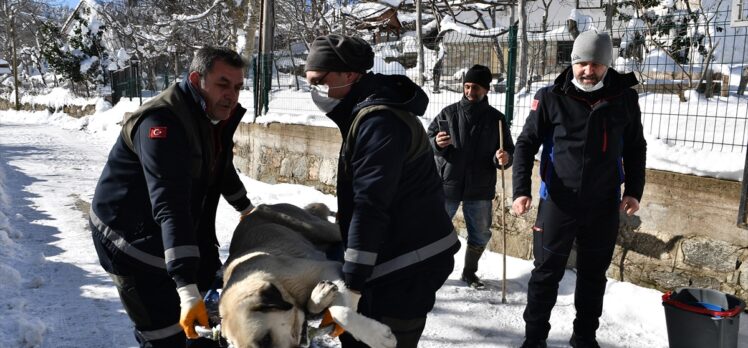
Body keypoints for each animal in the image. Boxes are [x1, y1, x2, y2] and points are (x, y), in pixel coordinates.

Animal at [219, 203, 400, 348]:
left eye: (266, 340)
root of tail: (255, 210)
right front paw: (319, 297)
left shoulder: (328, 267)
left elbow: (340, 312)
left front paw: (378, 337)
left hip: (317, 228)